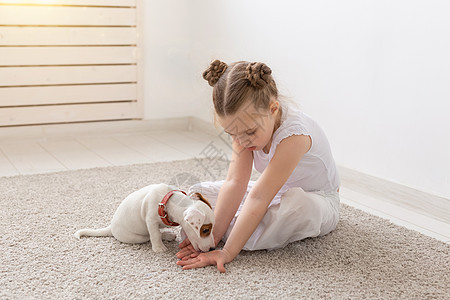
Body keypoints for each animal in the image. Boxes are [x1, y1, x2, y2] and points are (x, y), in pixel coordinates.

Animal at [74, 184, 215, 252]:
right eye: (205, 230)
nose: (213, 249)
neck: (167, 202)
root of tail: (111, 227)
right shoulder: (150, 221)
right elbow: (155, 234)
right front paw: (159, 248)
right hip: (137, 237)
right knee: (150, 236)